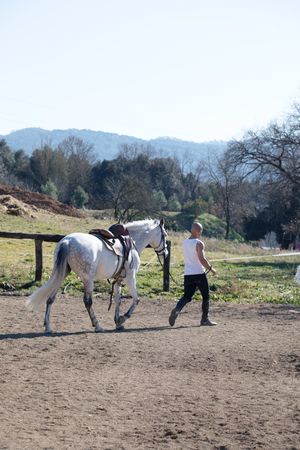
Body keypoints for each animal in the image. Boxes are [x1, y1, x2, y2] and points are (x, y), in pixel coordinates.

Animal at [26, 220, 168, 332]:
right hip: (88, 279)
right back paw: (97, 326)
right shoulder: (130, 277)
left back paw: (48, 327)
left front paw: (117, 322)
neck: (132, 241)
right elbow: (136, 299)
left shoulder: (118, 280)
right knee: (88, 302)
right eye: (165, 235)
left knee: (51, 298)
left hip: (62, 274)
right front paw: (122, 318)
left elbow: (118, 299)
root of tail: (67, 241)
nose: (166, 253)